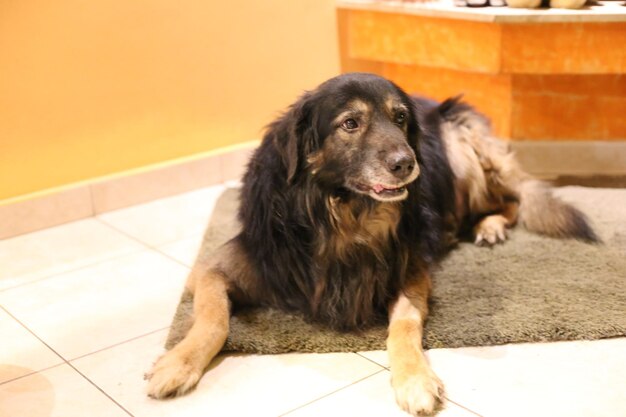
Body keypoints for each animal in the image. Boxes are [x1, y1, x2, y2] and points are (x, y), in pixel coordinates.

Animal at [145, 73, 596, 414]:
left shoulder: (409, 272)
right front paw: (176, 363)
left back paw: (489, 226)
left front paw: (414, 378)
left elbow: (405, 324)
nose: (407, 164)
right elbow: (212, 318)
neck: (342, 214)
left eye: (399, 119)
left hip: (463, 152)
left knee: (512, 201)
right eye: (350, 123)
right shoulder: (216, 267)